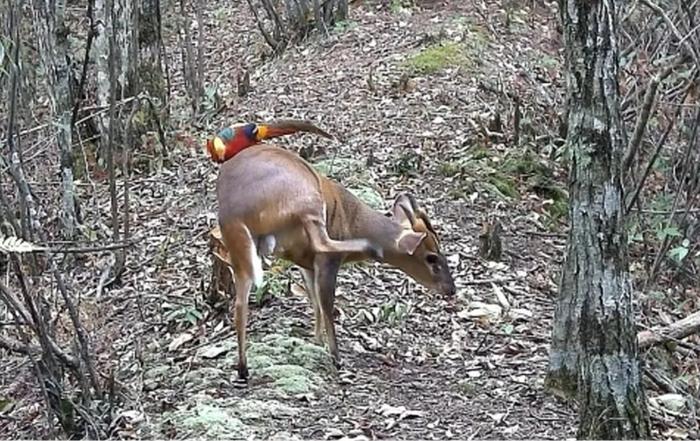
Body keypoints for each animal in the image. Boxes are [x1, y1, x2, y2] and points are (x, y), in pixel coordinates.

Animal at [219, 144, 460, 378]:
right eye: (431, 258)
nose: (451, 289)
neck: (355, 220)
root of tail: (234, 213)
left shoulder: (306, 264)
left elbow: (314, 300)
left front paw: (317, 342)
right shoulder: (325, 262)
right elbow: (325, 302)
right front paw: (333, 354)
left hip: (242, 250)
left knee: (239, 305)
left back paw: (243, 368)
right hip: (307, 197)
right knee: (322, 242)